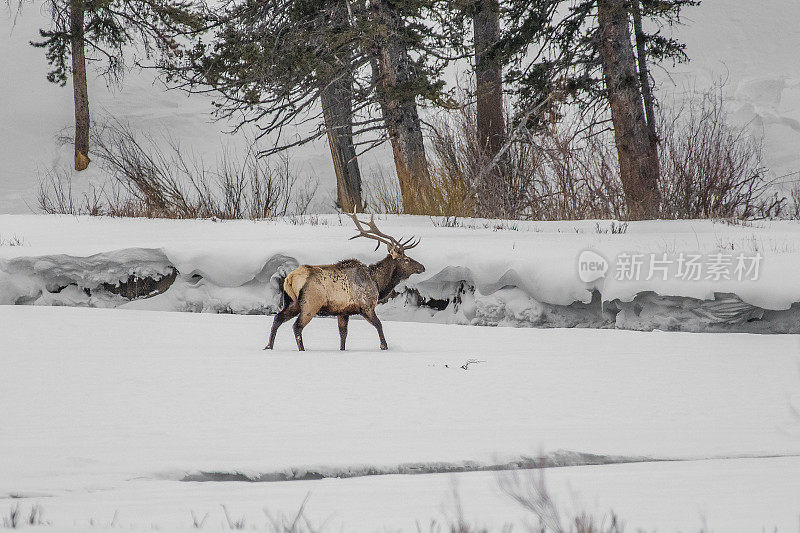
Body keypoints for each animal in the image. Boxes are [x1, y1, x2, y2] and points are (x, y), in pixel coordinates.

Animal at [262, 214, 424, 352]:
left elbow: (343, 335)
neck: (378, 283)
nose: (422, 267)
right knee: (297, 326)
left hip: (291, 302)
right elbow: (379, 324)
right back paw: (302, 349)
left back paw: (268, 346)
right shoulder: (366, 305)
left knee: (277, 318)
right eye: (406, 259)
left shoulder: (343, 311)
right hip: (311, 303)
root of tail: (290, 278)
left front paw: (342, 350)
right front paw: (384, 346)